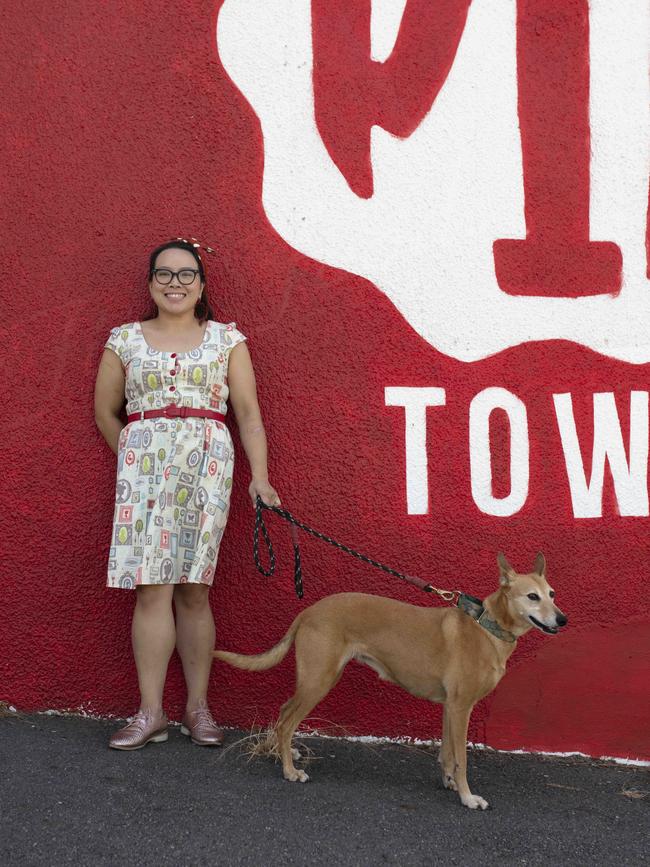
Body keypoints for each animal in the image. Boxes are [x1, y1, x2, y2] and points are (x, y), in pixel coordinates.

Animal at [215, 552, 564, 812]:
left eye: (552, 594)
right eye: (532, 597)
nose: (563, 619)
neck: (487, 628)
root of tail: (309, 610)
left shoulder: (450, 708)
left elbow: (447, 754)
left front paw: (449, 782)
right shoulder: (461, 707)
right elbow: (462, 759)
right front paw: (467, 797)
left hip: (316, 678)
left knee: (283, 713)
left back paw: (286, 752)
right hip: (319, 680)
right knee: (287, 721)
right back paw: (290, 771)